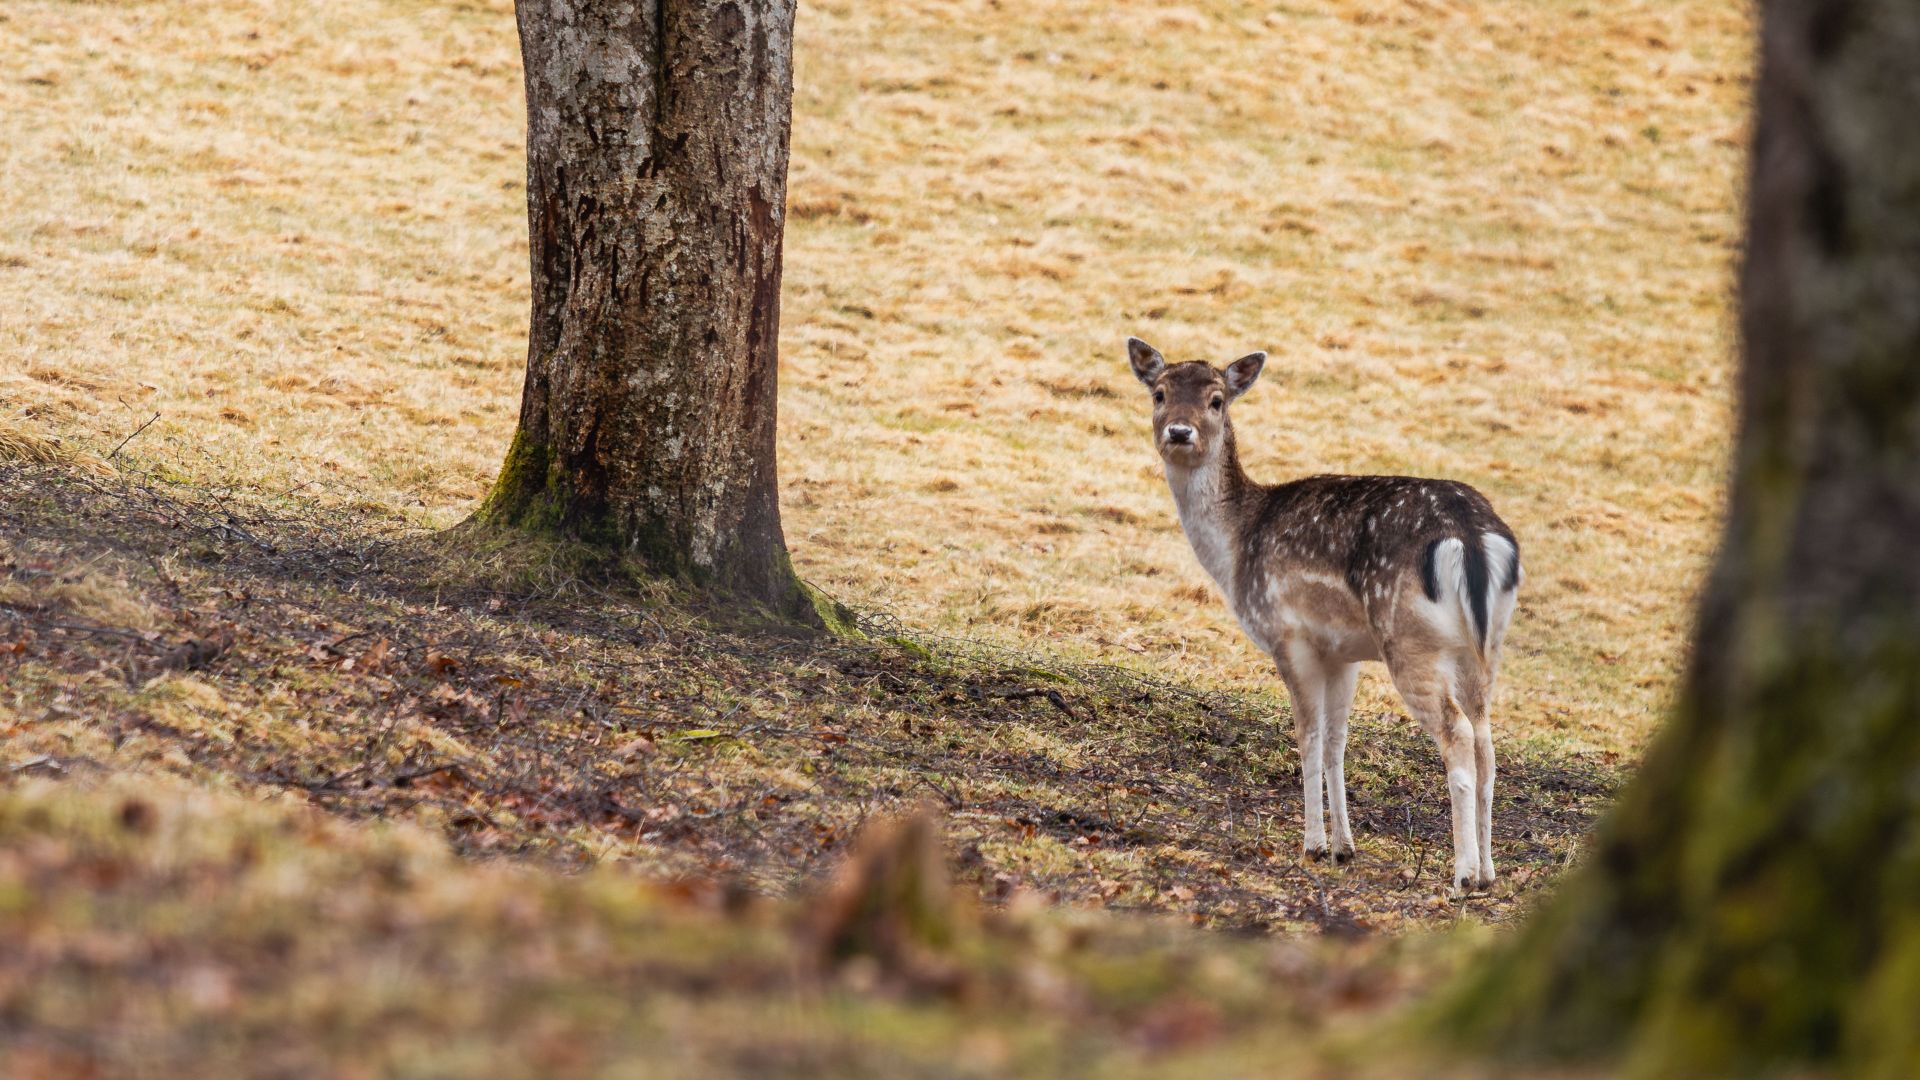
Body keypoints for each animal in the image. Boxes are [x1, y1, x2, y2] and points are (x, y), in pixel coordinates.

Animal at [1126, 337, 1521, 895]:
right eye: (1159, 393)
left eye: (1216, 400)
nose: (1179, 432)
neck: (1235, 549)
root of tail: (1471, 537)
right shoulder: (1343, 652)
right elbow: (1337, 741)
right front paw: (1343, 847)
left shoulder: (1289, 635)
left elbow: (1308, 736)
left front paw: (1313, 844)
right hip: (1483, 650)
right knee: (1487, 740)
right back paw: (1487, 873)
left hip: (1411, 643)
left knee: (1458, 734)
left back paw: (1462, 873)